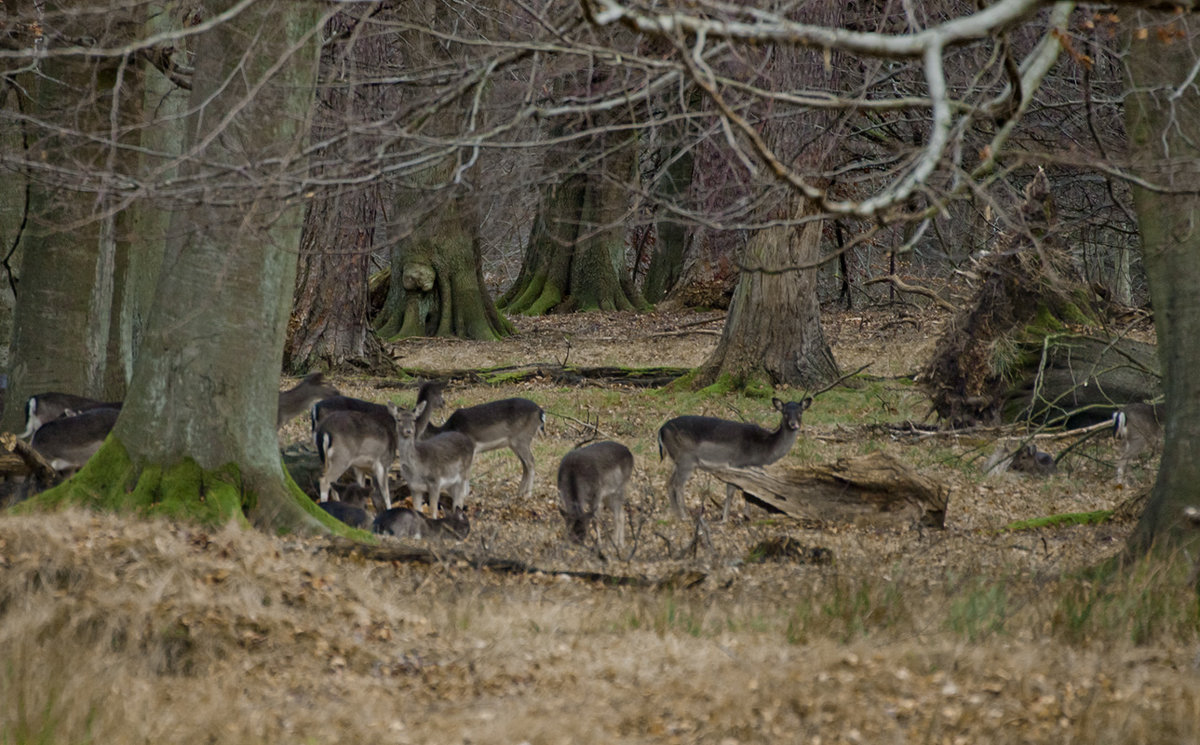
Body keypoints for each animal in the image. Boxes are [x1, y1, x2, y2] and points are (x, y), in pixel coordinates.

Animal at [657, 395, 816, 523]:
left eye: (800, 412)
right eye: (785, 413)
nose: (794, 424)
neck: (764, 449)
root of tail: (661, 430)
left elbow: (749, 491)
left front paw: (747, 516)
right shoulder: (736, 463)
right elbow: (732, 491)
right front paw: (725, 519)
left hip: (676, 460)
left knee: (669, 482)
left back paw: (675, 514)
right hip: (686, 460)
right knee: (678, 485)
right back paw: (684, 516)